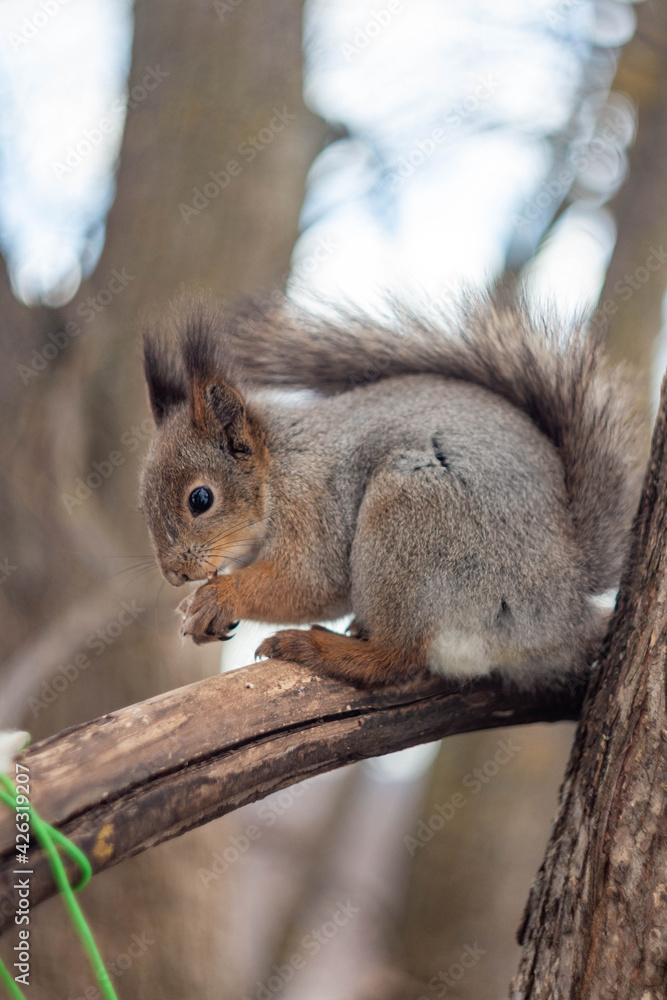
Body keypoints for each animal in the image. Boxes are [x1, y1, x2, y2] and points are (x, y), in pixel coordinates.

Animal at [139, 287, 643, 689]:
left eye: (200, 499)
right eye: (143, 506)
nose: (174, 574)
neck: (277, 468)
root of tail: (566, 593)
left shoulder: (315, 503)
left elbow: (310, 582)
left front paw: (217, 598)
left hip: (413, 515)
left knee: (401, 658)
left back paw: (321, 649)